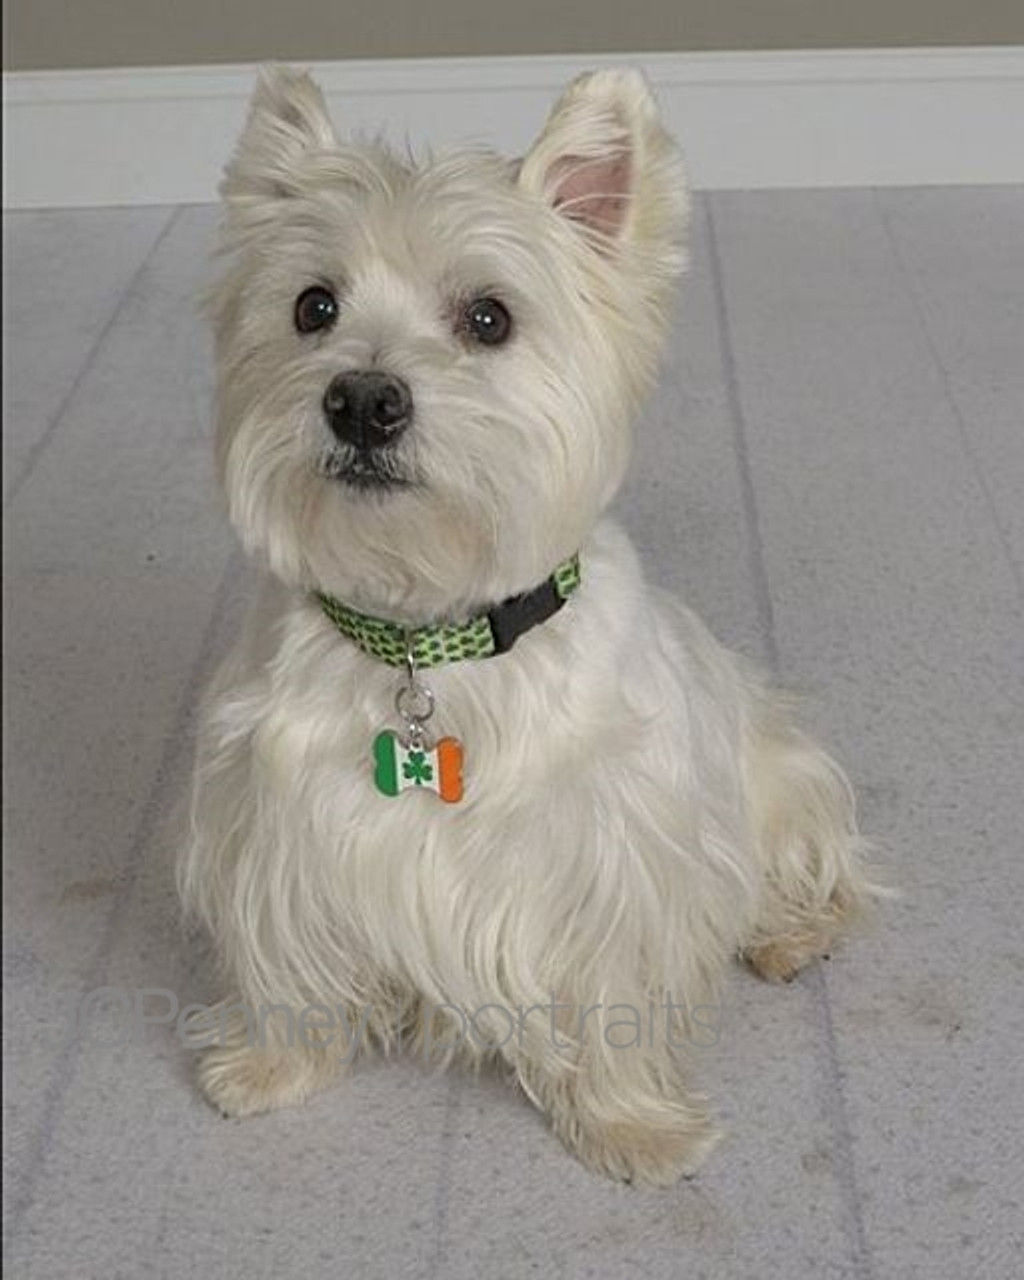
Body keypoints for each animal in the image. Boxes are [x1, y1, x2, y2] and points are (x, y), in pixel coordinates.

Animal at [177, 64, 880, 1182]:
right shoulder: (272, 823)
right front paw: (268, 1064)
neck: (427, 635)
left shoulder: (615, 856)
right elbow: (282, 954)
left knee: (815, 867)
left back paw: (785, 933)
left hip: (779, 768)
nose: (362, 400)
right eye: (312, 306)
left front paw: (634, 1126)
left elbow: (614, 994)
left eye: (489, 318)